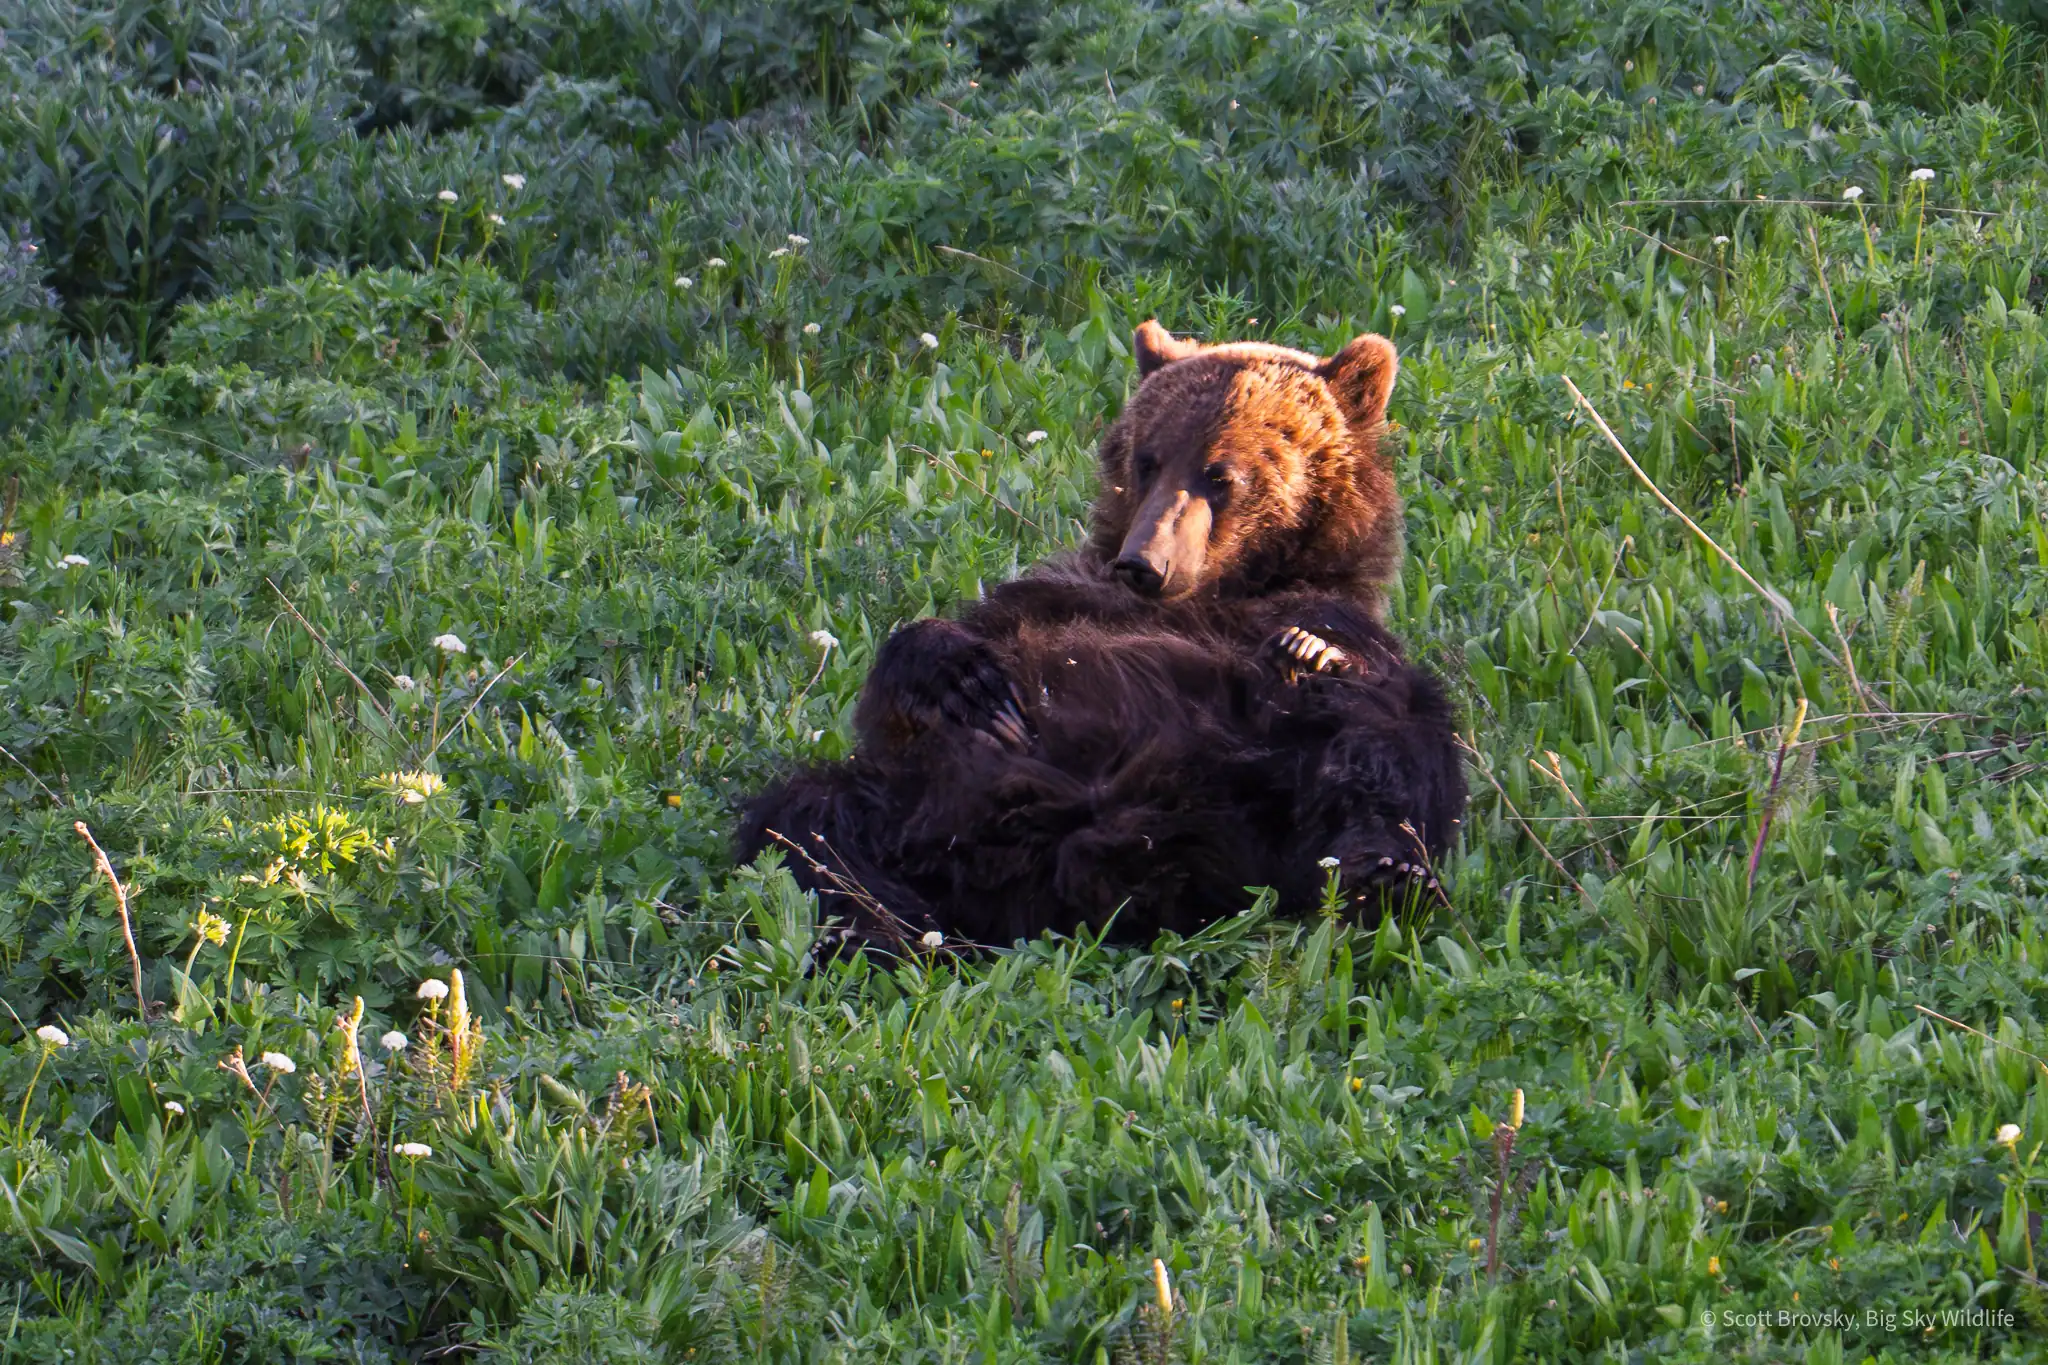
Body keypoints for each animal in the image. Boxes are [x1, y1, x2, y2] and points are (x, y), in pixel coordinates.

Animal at [735, 320, 1466, 951]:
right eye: (1147, 459)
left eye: (1221, 474)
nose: (1145, 561)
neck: (1227, 590)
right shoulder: (1053, 593)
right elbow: (912, 679)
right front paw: (969, 683)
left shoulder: (1335, 616)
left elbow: (1383, 705)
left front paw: (1307, 651)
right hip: (906, 794)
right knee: (804, 822)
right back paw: (865, 923)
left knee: (1381, 750)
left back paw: (1385, 875)